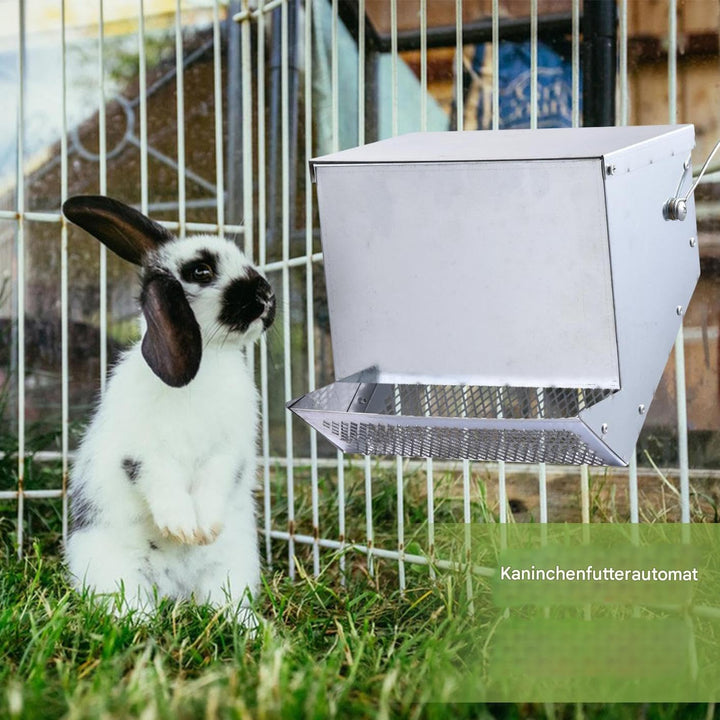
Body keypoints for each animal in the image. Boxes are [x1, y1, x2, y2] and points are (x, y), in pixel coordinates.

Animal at [62, 195, 275, 624]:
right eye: (201, 270)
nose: (266, 297)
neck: (208, 360)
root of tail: (177, 588)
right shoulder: (141, 452)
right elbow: (161, 480)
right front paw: (182, 528)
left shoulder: (230, 450)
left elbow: (214, 479)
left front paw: (204, 530)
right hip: (112, 568)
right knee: (129, 605)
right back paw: (140, 624)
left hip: (233, 567)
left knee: (226, 603)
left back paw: (255, 628)